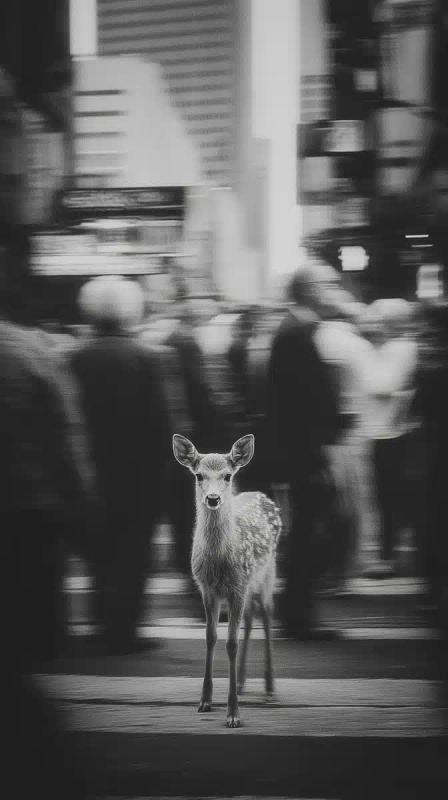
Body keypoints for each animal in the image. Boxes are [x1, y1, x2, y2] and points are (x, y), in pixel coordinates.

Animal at [172, 433, 282, 728]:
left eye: (228, 476)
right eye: (198, 475)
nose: (213, 498)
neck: (219, 563)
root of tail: (262, 496)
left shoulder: (237, 586)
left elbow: (231, 644)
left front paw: (233, 714)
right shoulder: (207, 588)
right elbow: (210, 638)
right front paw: (205, 701)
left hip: (267, 571)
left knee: (267, 614)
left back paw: (269, 689)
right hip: (249, 583)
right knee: (251, 616)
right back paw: (243, 683)